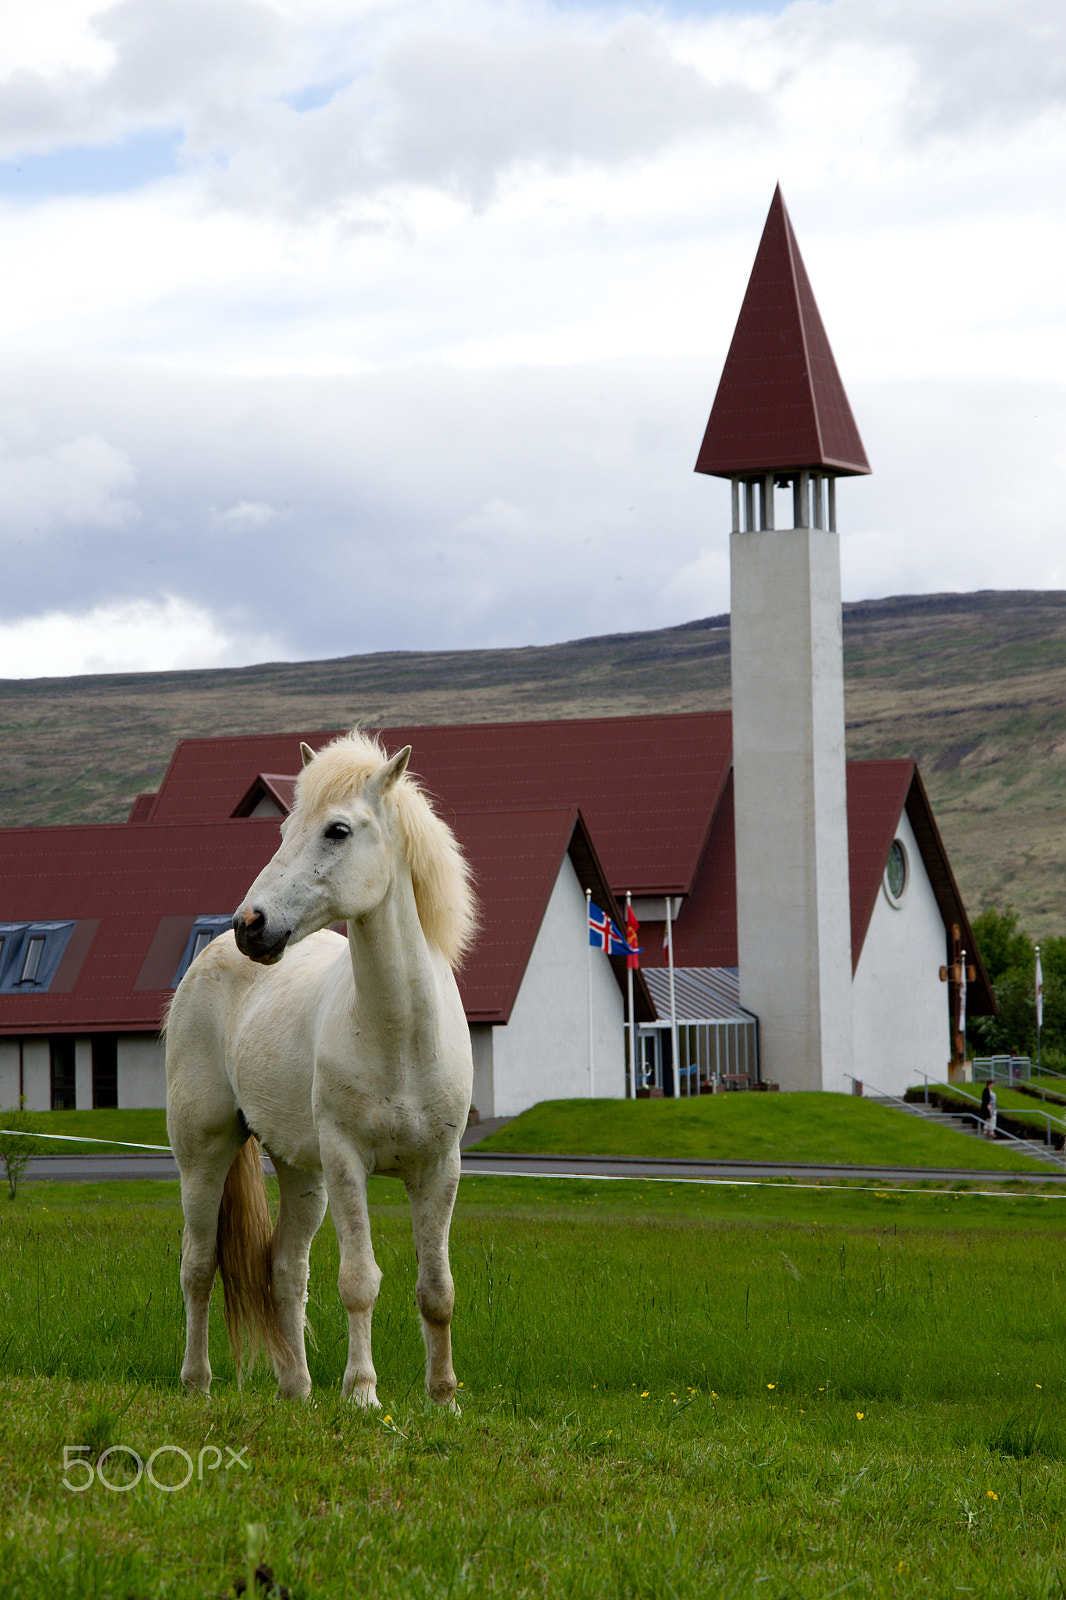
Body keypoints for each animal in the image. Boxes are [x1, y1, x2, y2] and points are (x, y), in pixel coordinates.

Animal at [164, 732, 473, 1408]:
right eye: (285, 829)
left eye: (337, 829)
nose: (251, 925)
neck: (399, 1038)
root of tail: (209, 955)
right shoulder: (347, 1160)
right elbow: (359, 1279)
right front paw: (362, 1393)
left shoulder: (439, 1169)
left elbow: (437, 1288)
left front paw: (444, 1399)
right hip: (205, 1154)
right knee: (199, 1267)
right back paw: (197, 1383)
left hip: (302, 1175)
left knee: (285, 1269)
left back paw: (297, 1390)